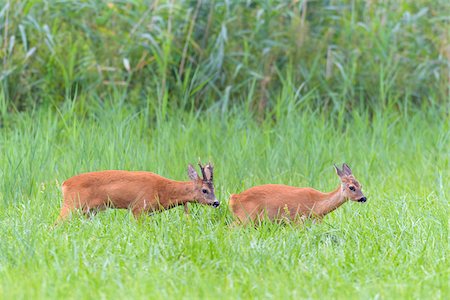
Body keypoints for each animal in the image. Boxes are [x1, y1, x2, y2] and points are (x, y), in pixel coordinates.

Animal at [57, 162, 219, 223]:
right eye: (204, 190)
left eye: (214, 189)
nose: (216, 202)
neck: (164, 191)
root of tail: (65, 184)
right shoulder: (139, 207)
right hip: (72, 204)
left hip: (88, 211)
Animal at [229, 164, 366, 225]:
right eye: (351, 187)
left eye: (361, 185)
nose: (364, 198)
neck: (318, 204)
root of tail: (233, 199)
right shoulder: (298, 219)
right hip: (245, 217)